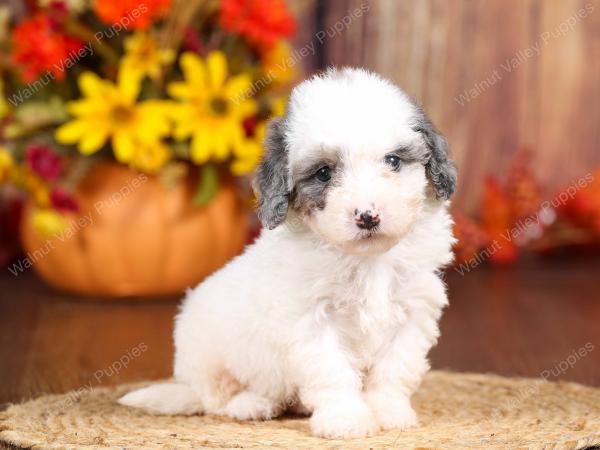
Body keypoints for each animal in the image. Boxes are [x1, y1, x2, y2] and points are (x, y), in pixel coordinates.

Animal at [119, 68, 458, 438]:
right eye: (323, 173)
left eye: (393, 161)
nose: (368, 216)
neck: (367, 259)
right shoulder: (313, 320)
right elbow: (332, 372)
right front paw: (345, 419)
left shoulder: (413, 311)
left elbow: (395, 367)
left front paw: (388, 410)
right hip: (209, 352)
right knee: (217, 398)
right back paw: (251, 404)